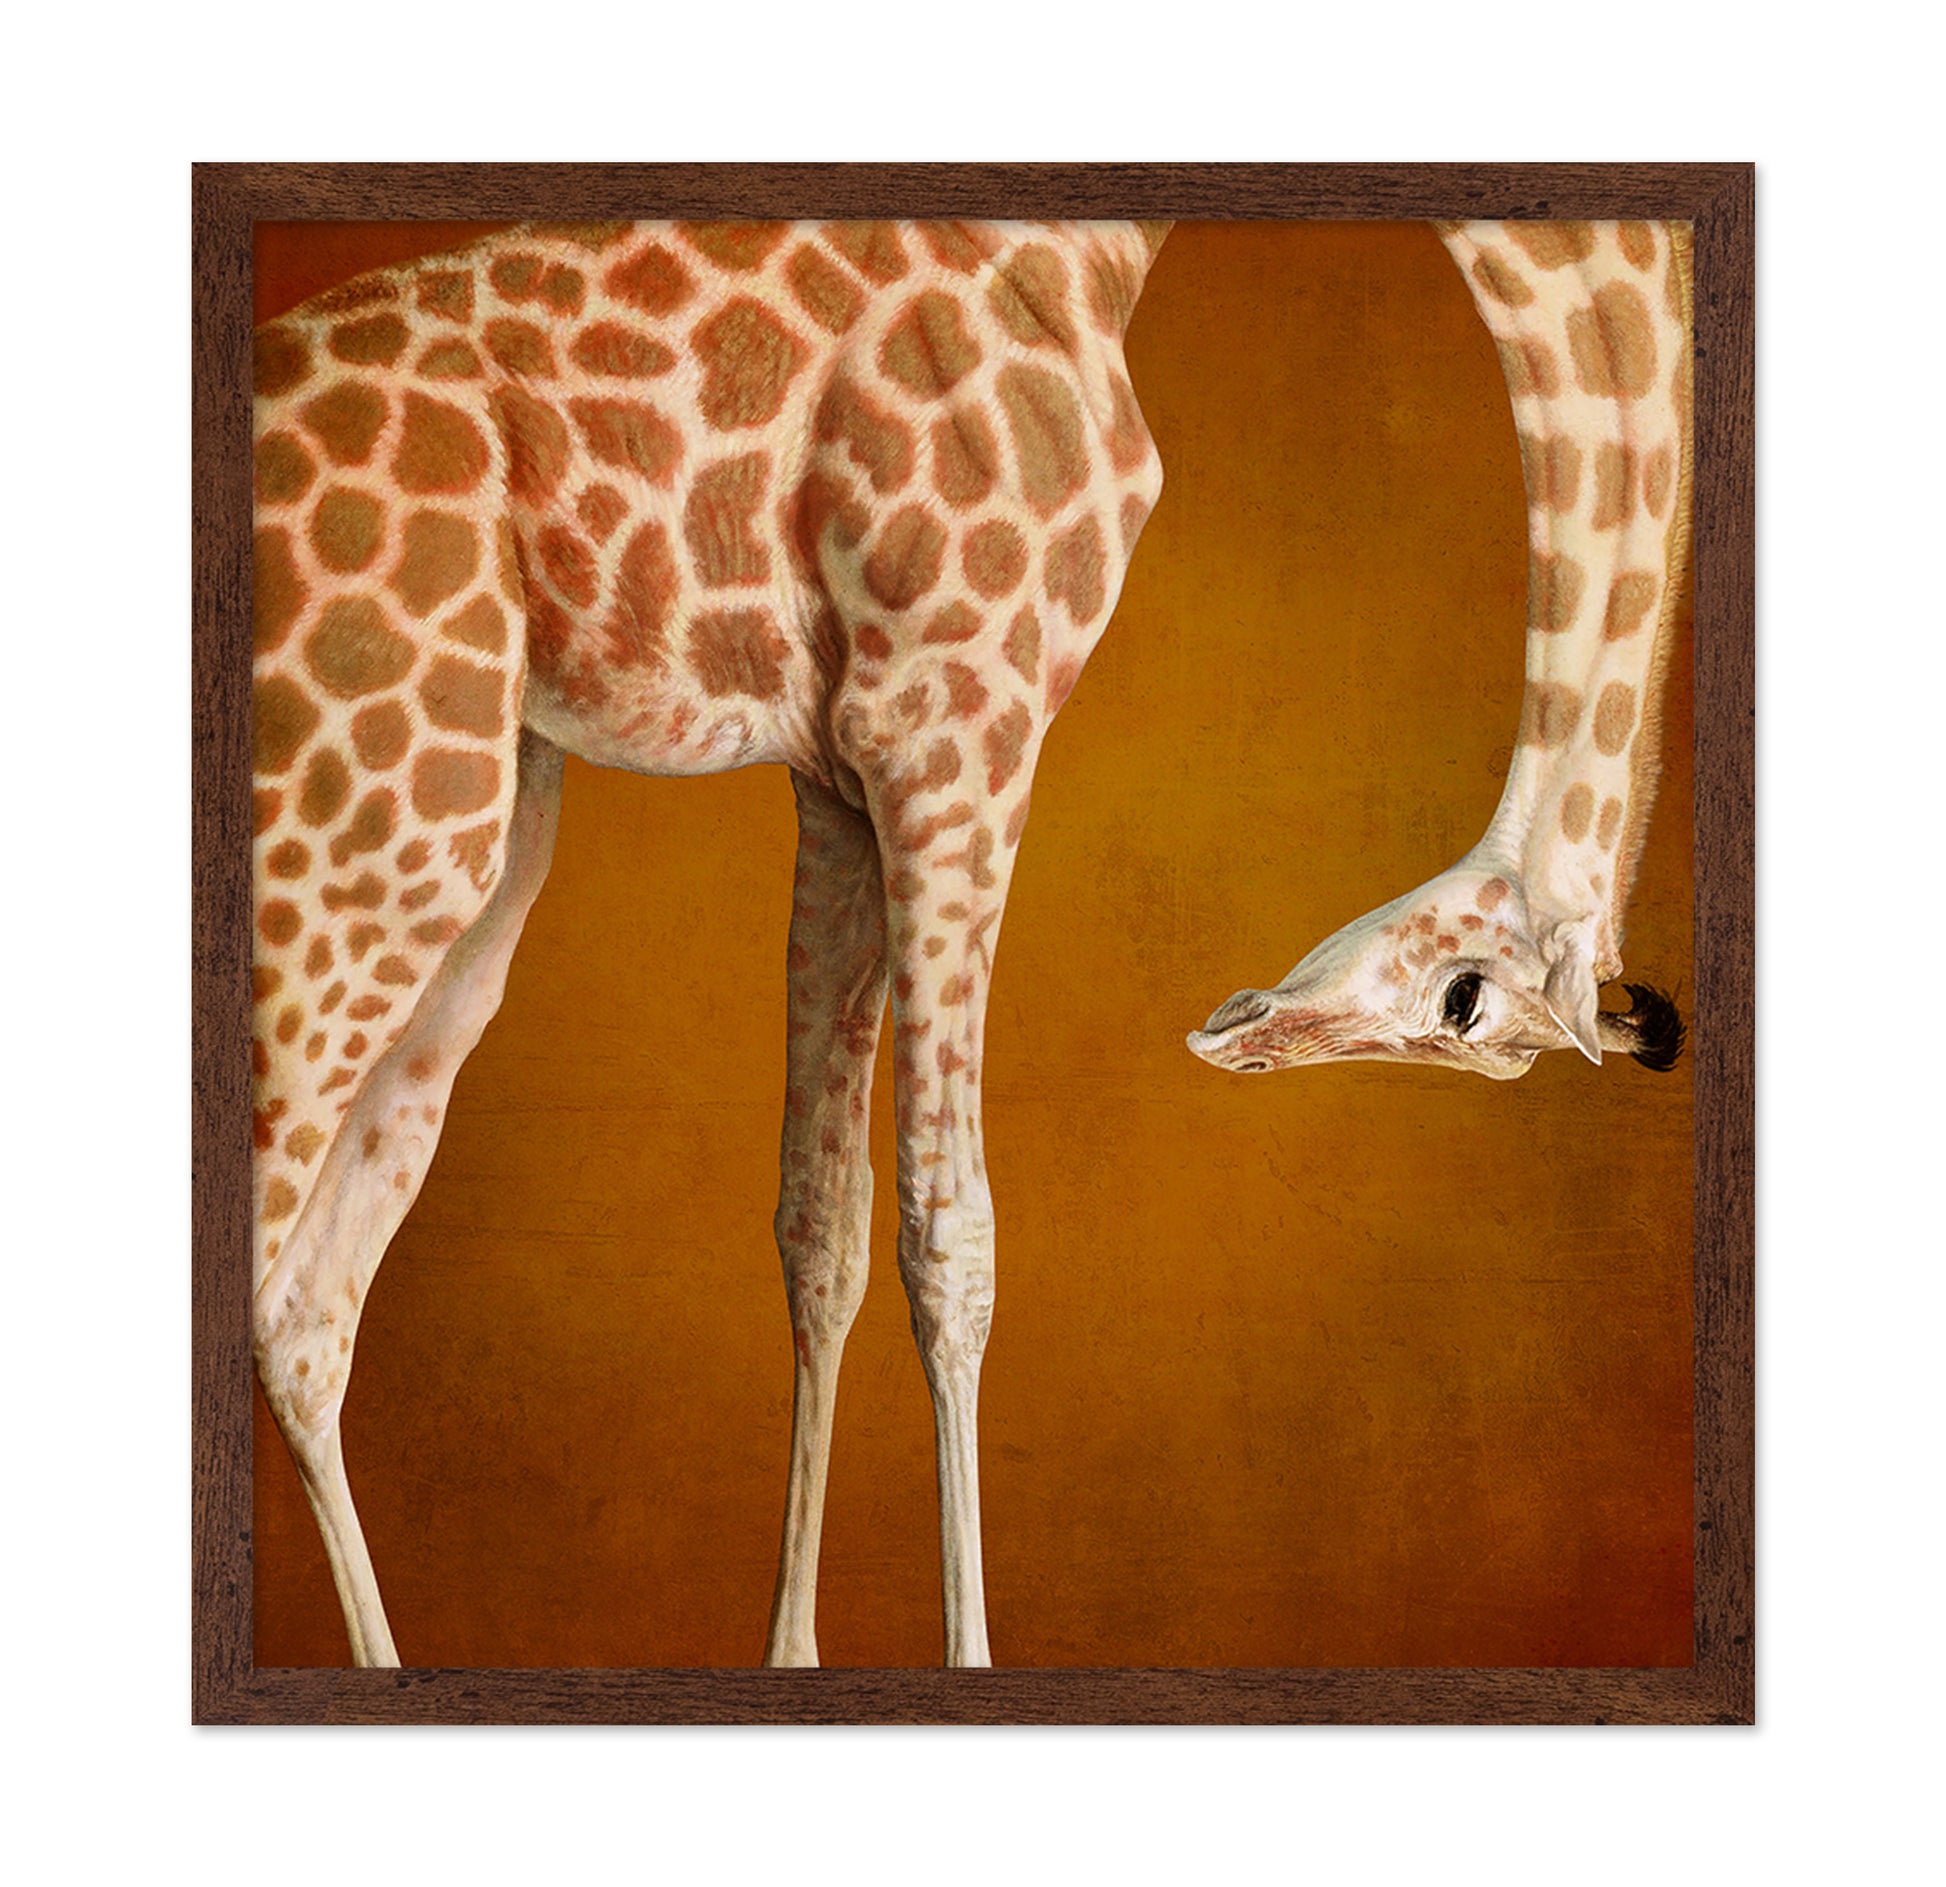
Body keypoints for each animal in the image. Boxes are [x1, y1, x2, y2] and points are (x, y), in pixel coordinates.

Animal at [250, 216, 1690, 1670]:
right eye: (1467, 1004)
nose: (1236, 1029)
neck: (1103, 250)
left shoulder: (836, 770)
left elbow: (818, 1224)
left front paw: (790, 1656)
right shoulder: (949, 712)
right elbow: (953, 1239)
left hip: (486, 840)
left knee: (308, 1306)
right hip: (385, 818)